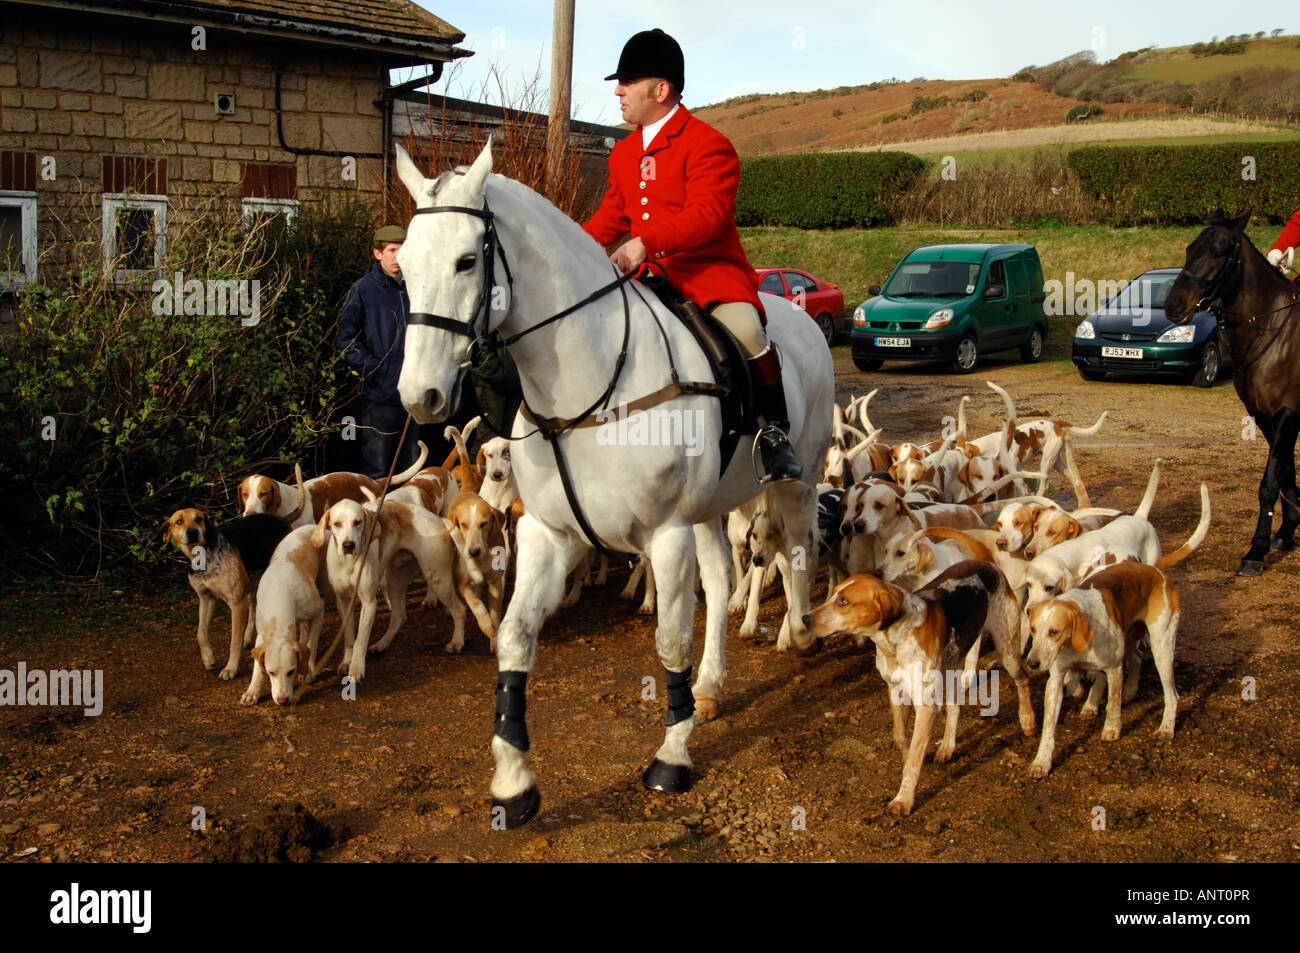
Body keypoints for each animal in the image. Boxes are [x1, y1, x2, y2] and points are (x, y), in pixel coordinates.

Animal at [390, 139, 832, 826]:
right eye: (404, 266)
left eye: (466, 261)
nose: (421, 396)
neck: (584, 385)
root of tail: (802, 315)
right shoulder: (548, 534)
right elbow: (514, 639)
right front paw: (514, 781)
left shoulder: (665, 534)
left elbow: (670, 641)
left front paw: (672, 757)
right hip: (709, 508)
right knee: (721, 578)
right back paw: (710, 687)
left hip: (795, 483)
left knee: (796, 551)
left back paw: (800, 631)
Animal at [1170, 206, 1300, 572]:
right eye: (1190, 248)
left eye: (1221, 251)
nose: (1174, 305)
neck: (1271, 328)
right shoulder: (1265, 416)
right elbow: (1285, 473)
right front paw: (1287, 531)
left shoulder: (1288, 414)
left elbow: (1269, 483)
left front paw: (1256, 550)